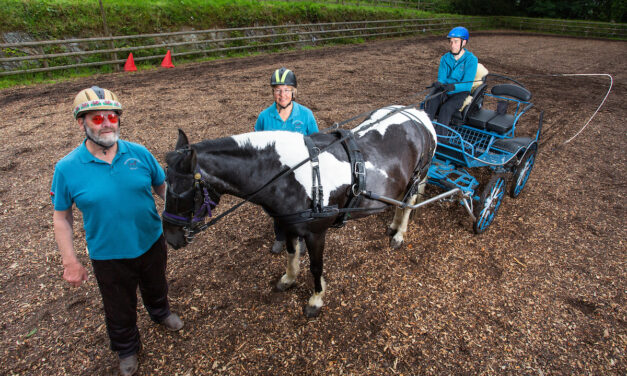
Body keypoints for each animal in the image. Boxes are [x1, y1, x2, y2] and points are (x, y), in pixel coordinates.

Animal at [162, 106, 436, 318]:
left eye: (181, 193)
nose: (171, 238)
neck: (289, 176)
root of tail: (419, 115)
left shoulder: (316, 232)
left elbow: (316, 267)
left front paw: (316, 298)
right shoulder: (288, 225)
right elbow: (291, 254)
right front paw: (288, 279)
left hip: (417, 176)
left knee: (409, 205)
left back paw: (399, 233)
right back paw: (393, 225)